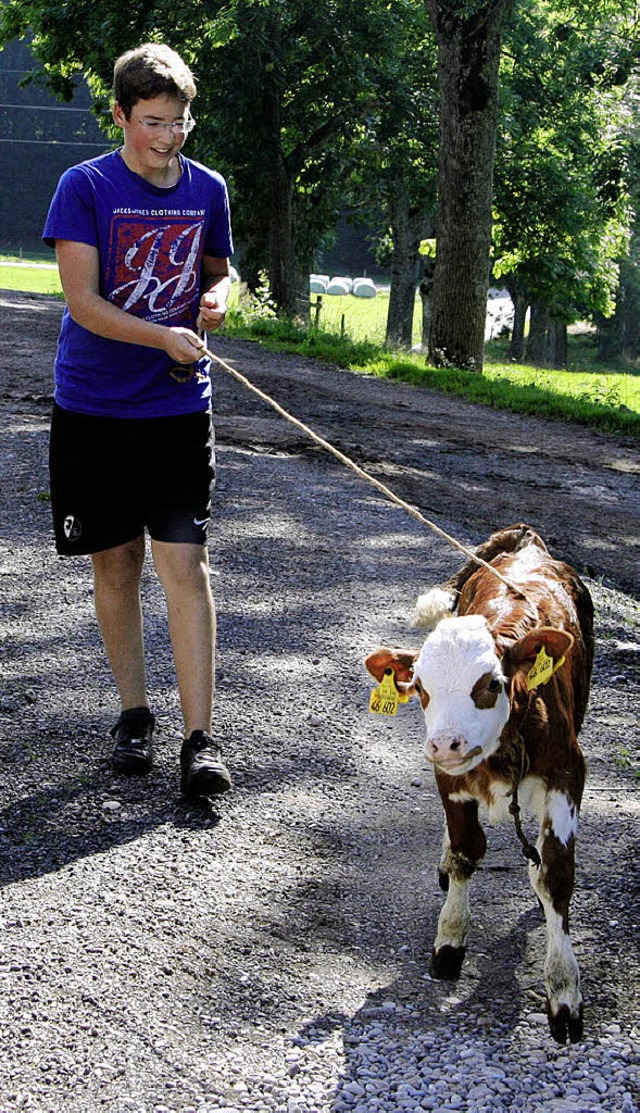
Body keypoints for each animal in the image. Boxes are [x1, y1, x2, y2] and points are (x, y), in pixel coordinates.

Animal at [365, 523, 596, 1041]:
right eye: (420, 687)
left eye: (490, 682)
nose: (446, 743)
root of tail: (527, 541)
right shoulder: (449, 779)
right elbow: (466, 851)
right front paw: (450, 939)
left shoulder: (568, 772)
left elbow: (554, 874)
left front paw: (564, 990)